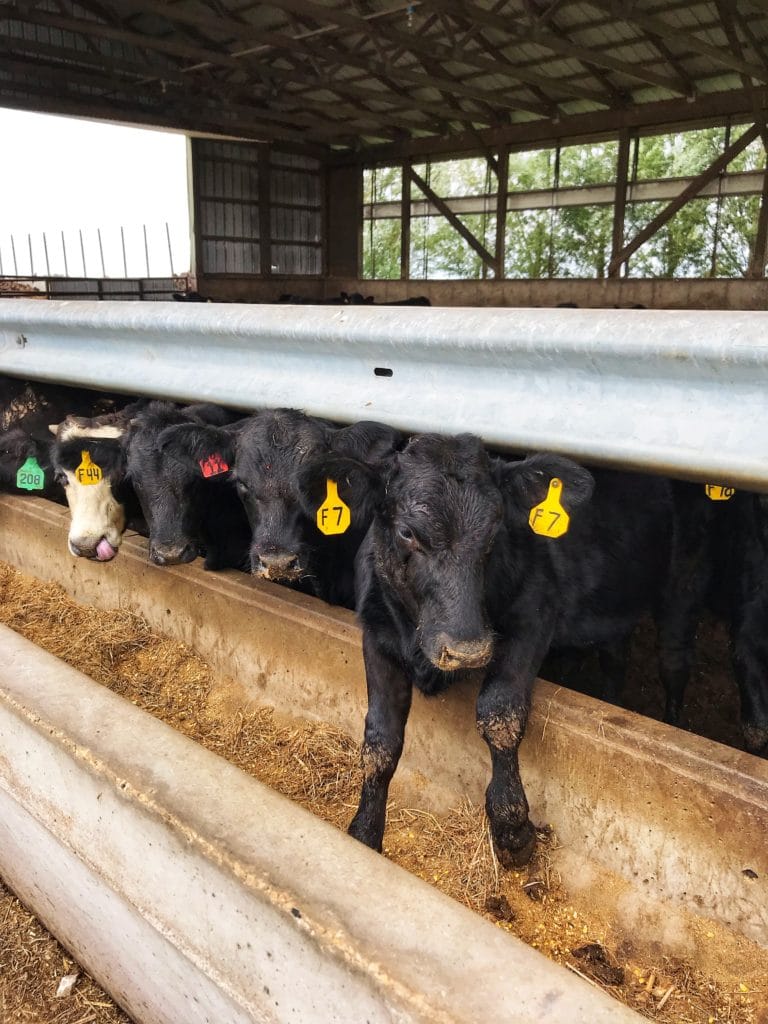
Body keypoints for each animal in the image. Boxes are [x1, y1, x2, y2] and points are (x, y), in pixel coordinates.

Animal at [348, 432, 679, 864]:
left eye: (494, 531)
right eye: (407, 533)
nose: (467, 650)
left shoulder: (534, 614)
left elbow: (499, 713)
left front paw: (513, 829)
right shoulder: (376, 632)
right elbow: (380, 740)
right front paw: (363, 833)